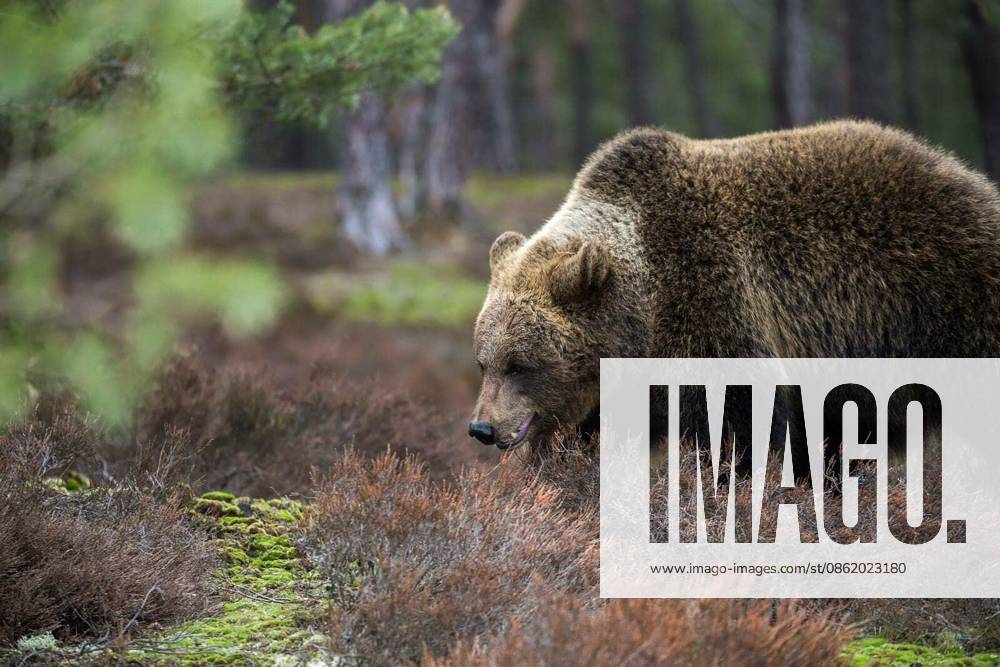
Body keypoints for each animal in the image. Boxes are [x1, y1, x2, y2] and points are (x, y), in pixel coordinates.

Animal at [468, 120, 1000, 458]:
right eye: (483, 362)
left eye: (520, 364)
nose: (482, 427)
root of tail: (974, 181)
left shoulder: (713, 305)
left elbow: (741, 427)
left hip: (949, 304)